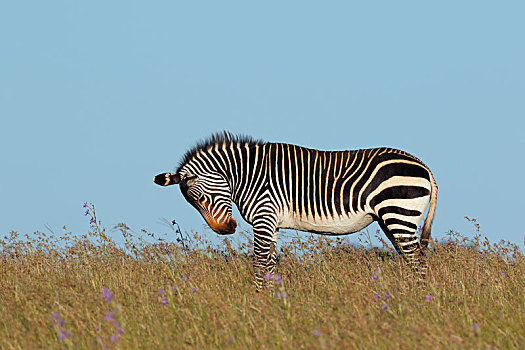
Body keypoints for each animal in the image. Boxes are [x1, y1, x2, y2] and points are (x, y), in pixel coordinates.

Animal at [154, 132, 436, 290]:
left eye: (201, 198)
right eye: (194, 205)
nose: (226, 230)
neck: (247, 176)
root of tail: (423, 166)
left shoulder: (264, 216)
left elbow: (259, 262)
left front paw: (258, 301)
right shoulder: (271, 223)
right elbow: (270, 263)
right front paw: (272, 302)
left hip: (399, 213)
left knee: (418, 261)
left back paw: (418, 300)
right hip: (391, 220)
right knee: (412, 259)